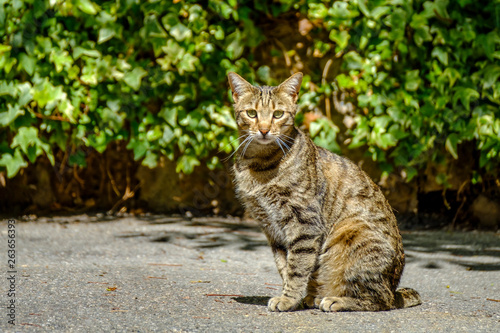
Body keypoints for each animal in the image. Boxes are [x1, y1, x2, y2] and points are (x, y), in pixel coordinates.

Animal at [228, 70, 422, 312]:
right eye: (252, 113)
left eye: (278, 114)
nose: (264, 130)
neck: (258, 164)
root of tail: (395, 288)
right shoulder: (272, 229)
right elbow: (284, 266)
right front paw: (292, 297)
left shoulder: (304, 222)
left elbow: (297, 266)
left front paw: (287, 299)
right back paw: (313, 296)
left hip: (353, 231)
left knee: (379, 300)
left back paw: (335, 300)